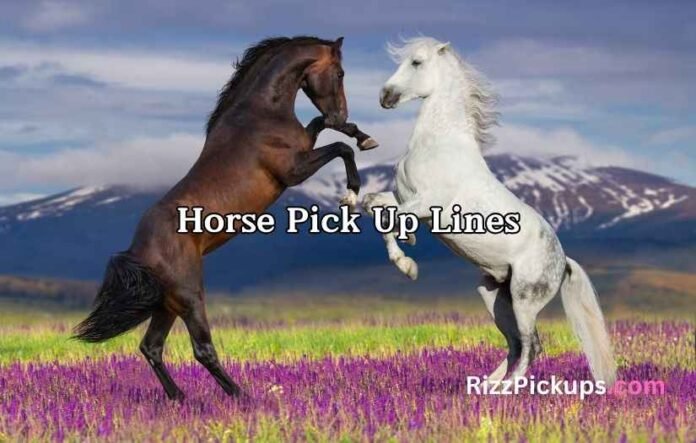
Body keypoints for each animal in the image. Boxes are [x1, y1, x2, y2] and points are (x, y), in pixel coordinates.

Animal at [73, 36, 378, 400]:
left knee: (152, 347)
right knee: (201, 349)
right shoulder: (294, 170)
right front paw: (351, 191)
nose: (341, 111)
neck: (261, 114)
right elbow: (339, 148)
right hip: (190, 297)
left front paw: (361, 135)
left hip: (167, 304)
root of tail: (138, 251)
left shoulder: (305, 146)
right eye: (341, 73)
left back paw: (179, 398)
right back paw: (241, 395)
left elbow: (324, 129)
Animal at [362, 37, 616, 385]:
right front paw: (407, 245)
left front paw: (407, 265)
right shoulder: (404, 197)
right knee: (515, 344)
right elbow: (374, 204)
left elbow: (390, 219)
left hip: (524, 299)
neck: (438, 144)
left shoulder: (427, 204)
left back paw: (507, 388)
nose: (385, 96)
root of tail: (563, 261)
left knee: (531, 345)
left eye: (416, 62)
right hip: (494, 296)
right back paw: (487, 385)